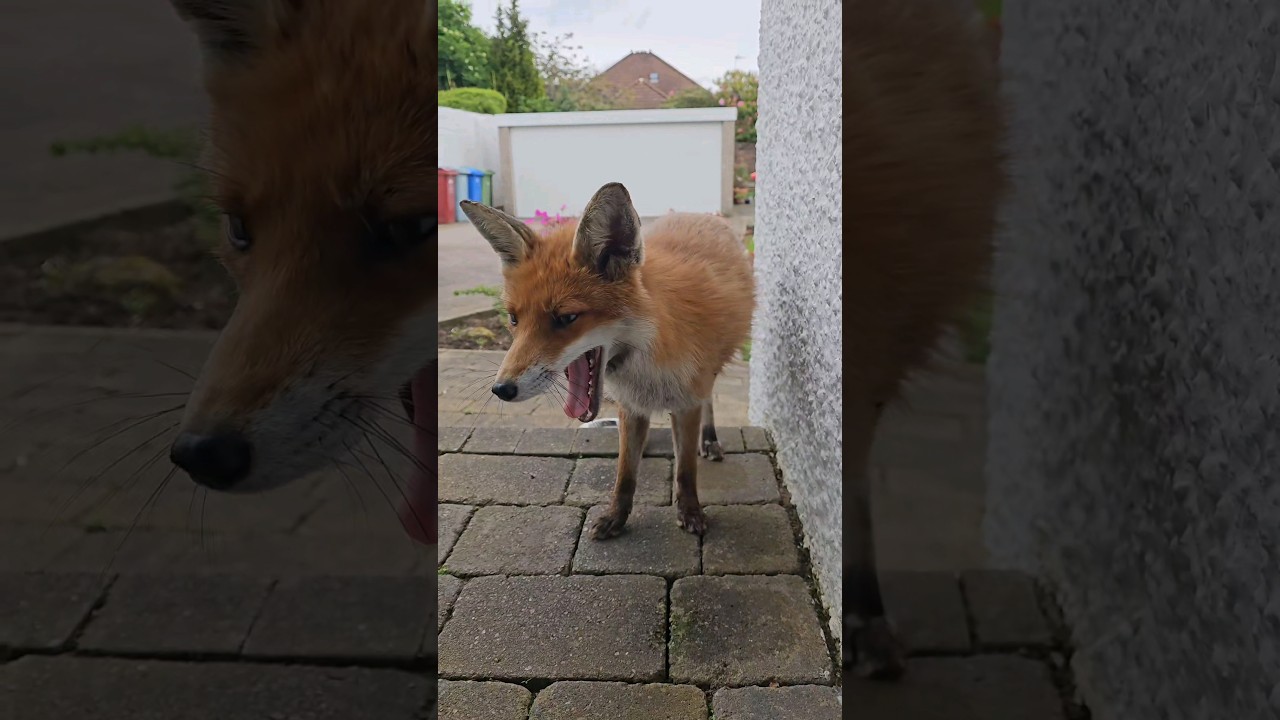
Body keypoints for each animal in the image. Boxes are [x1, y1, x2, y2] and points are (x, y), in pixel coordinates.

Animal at [461, 184, 754, 538]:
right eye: (514, 319)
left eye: (566, 318)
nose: (502, 389)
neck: (649, 355)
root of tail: (699, 215)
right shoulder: (631, 405)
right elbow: (625, 473)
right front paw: (617, 516)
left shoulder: (687, 401)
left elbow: (685, 470)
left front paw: (690, 511)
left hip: (710, 372)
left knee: (709, 400)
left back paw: (709, 440)